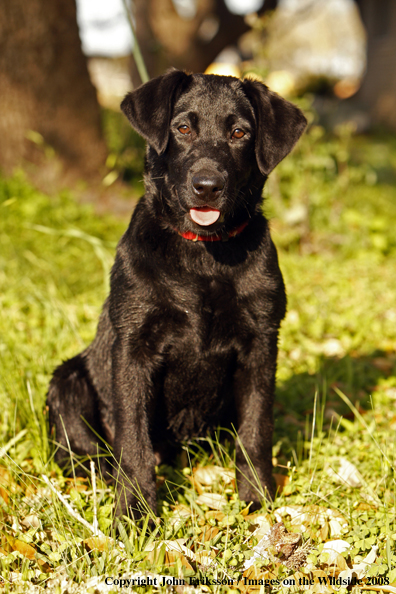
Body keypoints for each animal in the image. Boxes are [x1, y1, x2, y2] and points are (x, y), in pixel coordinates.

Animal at [47, 68, 306, 512]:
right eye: (183, 128)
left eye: (239, 132)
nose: (207, 185)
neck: (203, 253)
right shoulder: (133, 348)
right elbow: (133, 439)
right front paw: (134, 511)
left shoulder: (260, 344)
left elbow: (256, 430)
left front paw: (256, 498)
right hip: (67, 381)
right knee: (89, 456)